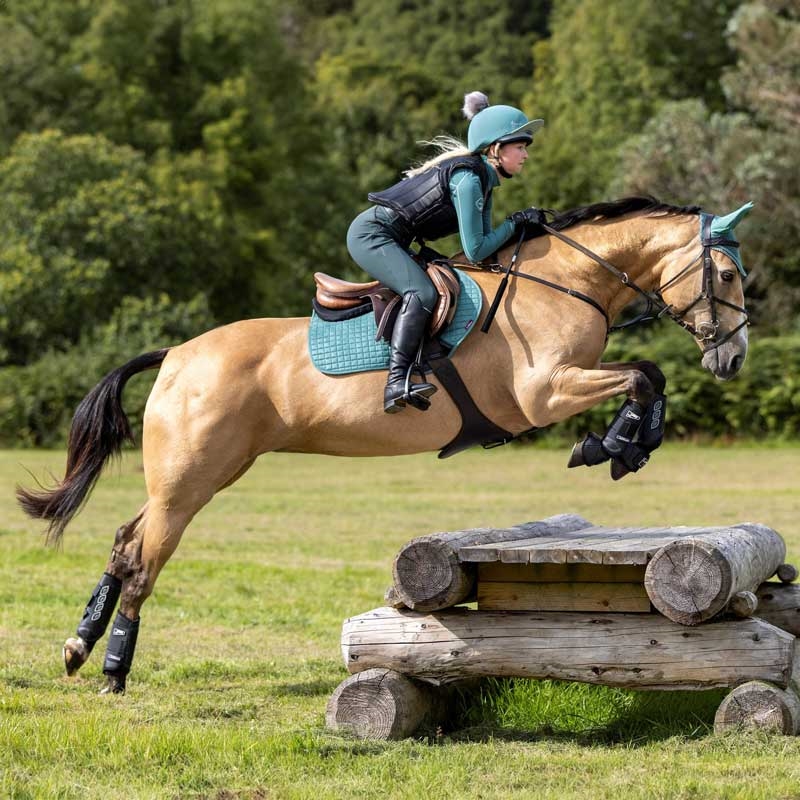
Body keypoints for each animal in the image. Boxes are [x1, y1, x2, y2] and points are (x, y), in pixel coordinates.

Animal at [20, 195, 756, 692]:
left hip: (198, 474)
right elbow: (642, 376)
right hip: (190, 481)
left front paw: (626, 445)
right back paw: (113, 670)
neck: (565, 284)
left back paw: (78, 647)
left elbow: (649, 375)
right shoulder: (542, 395)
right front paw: (614, 446)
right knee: (145, 560)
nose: (733, 360)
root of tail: (175, 354)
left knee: (125, 542)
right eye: (725, 276)